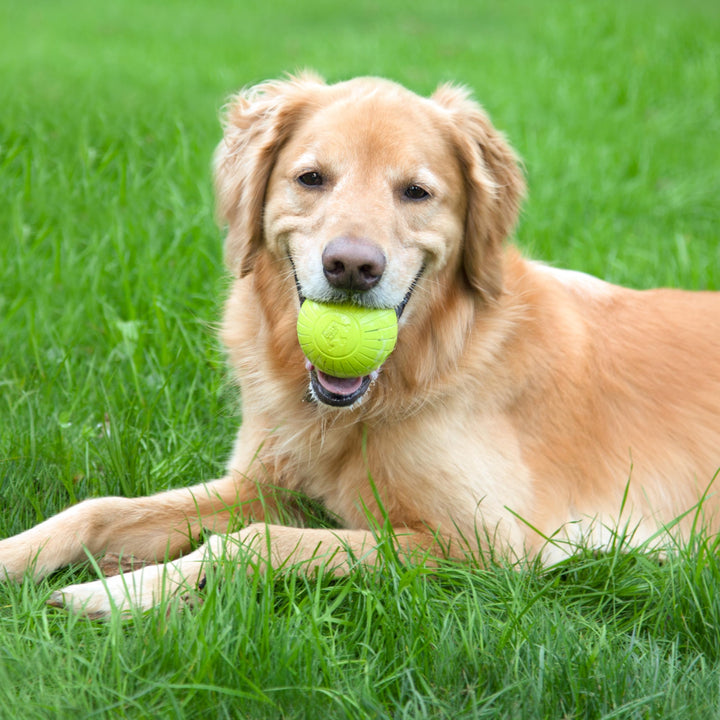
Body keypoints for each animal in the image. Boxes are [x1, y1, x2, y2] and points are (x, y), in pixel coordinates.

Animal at [1, 71, 720, 612]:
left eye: (417, 192)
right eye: (312, 178)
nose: (351, 267)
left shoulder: (489, 544)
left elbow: (257, 542)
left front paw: (122, 592)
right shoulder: (264, 481)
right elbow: (97, 508)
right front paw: (17, 557)